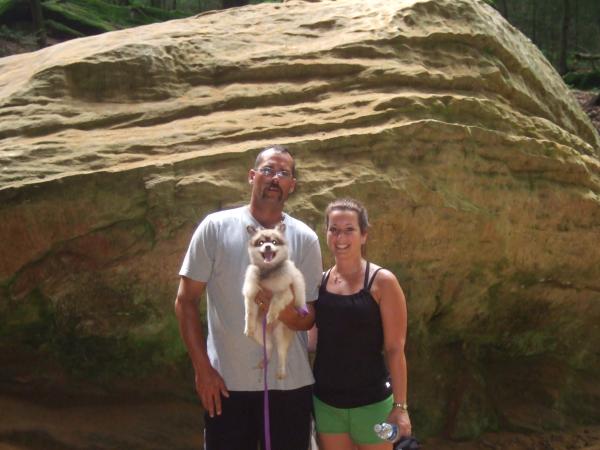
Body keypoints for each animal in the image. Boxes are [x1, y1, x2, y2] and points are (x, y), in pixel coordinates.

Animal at [243, 223, 308, 378]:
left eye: (274, 242)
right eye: (261, 243)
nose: (267, 247)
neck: (267, 271)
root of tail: (270, 331)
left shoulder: (285, 293)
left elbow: (275, 301)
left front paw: (271, 315)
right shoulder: (251, 294)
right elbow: (249, 312)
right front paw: (248, 326)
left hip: (281, 333)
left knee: (281, 352)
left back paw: (281, 371)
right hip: (260, 333)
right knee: (269, 347)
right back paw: (265, 361)